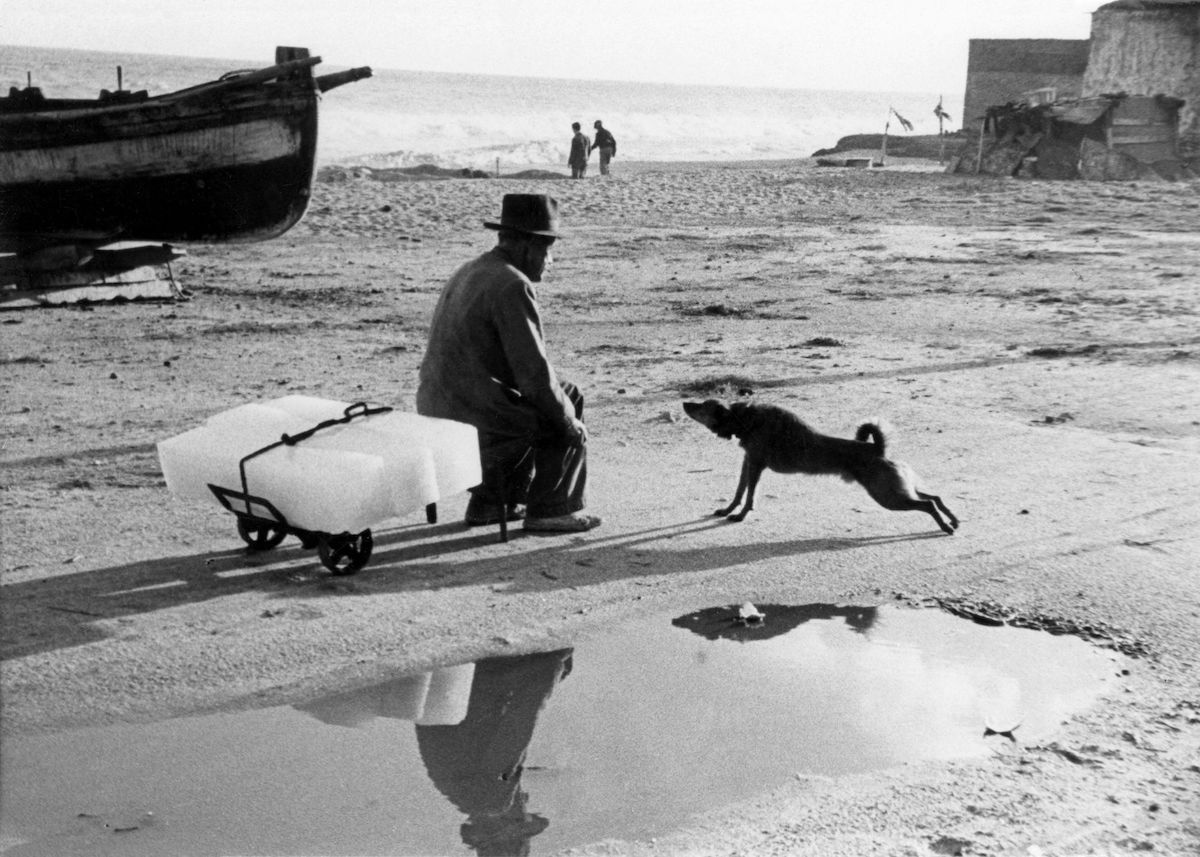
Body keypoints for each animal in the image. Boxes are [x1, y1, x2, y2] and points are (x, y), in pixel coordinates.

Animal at [682, 399, 959, 534]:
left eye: (702, 406)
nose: (684, 403)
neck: (744, 419)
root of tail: (877, 449)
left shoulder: (756, 465)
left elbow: (749, 497)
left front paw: (740, 516)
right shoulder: (748, 463)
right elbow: (739, 492)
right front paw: (729, 509)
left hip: (887, 495)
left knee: (928, 504)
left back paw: (945, 526)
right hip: (895, 489)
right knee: (935, 496)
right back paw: (953, 520)